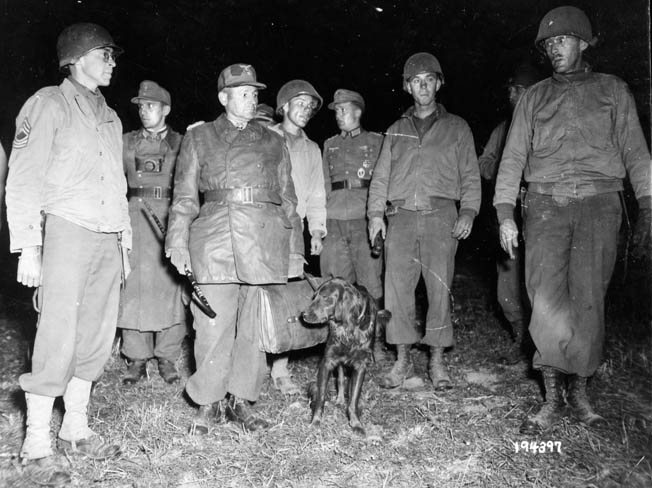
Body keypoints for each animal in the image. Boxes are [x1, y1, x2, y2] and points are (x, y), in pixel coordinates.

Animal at [302, 278, 374, 434]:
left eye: (325, 297)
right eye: (314, 297)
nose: (303, 315)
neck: (348, 328)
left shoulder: (360, 365)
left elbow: (353, 399)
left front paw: (356, 424)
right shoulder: (328, 361)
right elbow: (321, 396)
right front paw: (315, 421)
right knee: (340, 378)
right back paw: (340, 400)